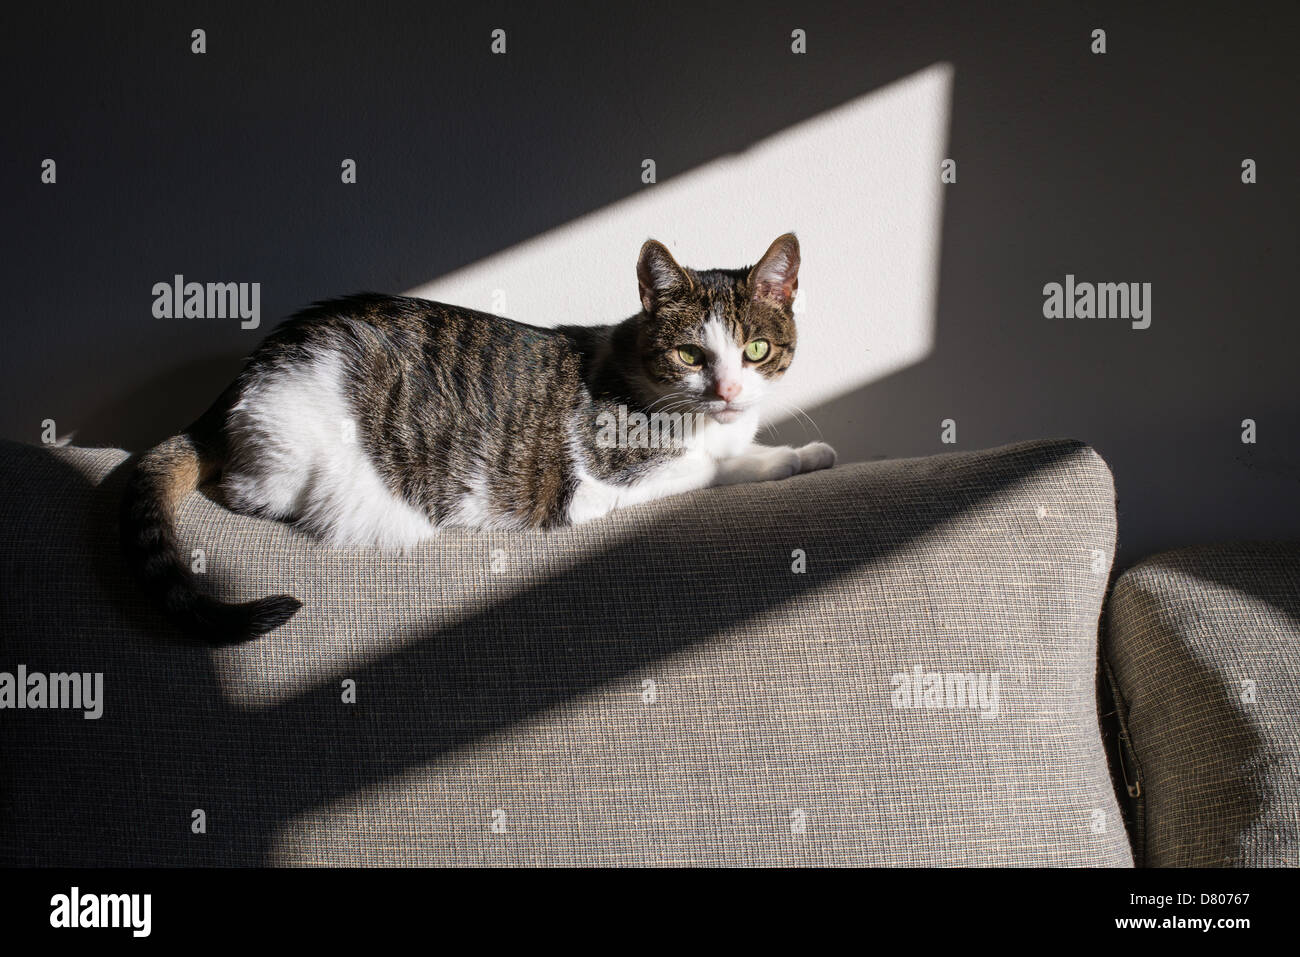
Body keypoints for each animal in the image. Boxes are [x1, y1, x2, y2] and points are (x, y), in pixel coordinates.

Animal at [122, 231, 832, 642]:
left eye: (757, 350)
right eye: (690, 354)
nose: (728, 392)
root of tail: (241, 380)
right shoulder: (598, 484)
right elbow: (711, 467)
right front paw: (786, 459)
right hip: (298, 447)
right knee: (243, 490)